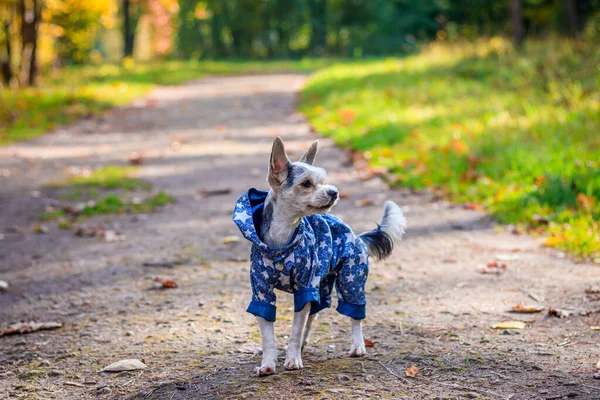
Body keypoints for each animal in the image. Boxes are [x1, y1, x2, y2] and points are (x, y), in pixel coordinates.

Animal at [232, 137, 406, 376]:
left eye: (323, 181)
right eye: (306, 183)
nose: (333, 191)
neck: (281, 240)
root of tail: (358, 237)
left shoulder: (305, 286)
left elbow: (295, 331)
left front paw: (293, 359)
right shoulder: (261, 291)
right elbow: (268, 335)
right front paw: (268, 364)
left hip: (351, 279)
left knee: (354, 315)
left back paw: (357, 346)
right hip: (321, 285)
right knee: (312, 315)